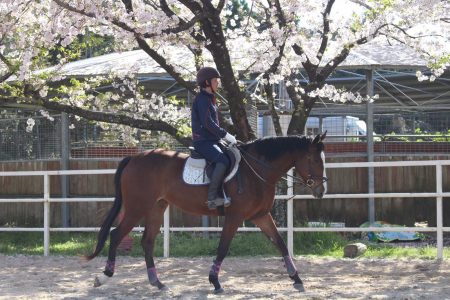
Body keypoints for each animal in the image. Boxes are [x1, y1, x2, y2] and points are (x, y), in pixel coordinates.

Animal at [86, 133, 328, 292]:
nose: (321, 190)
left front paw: (296, 278)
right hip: (137, 207)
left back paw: (158, 283)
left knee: (147, 241)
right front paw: (215, 281)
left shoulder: (261, 216)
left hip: (156, 207)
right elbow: (223, 248)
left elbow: (280, 243)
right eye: (314, 159)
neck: (256, 170)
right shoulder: (234, 217)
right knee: (116, 235)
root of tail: (134, 158)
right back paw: (104, 277)